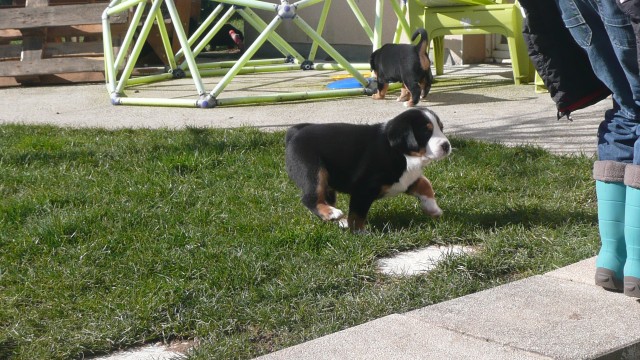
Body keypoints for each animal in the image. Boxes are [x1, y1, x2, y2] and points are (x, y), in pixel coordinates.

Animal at [284, 107, 450, 232]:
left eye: (441, 128)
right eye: (426, 132)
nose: (446, 145)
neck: (401, 153)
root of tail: (295, 133)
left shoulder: (406, 180)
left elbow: (425, 184)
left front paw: (433, 208)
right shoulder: (363, 189)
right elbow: (357, 214)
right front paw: (359, 233)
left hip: (327, 183)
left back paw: (339, 220)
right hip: (313, 171)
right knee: (310, 198)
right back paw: (332, 213)